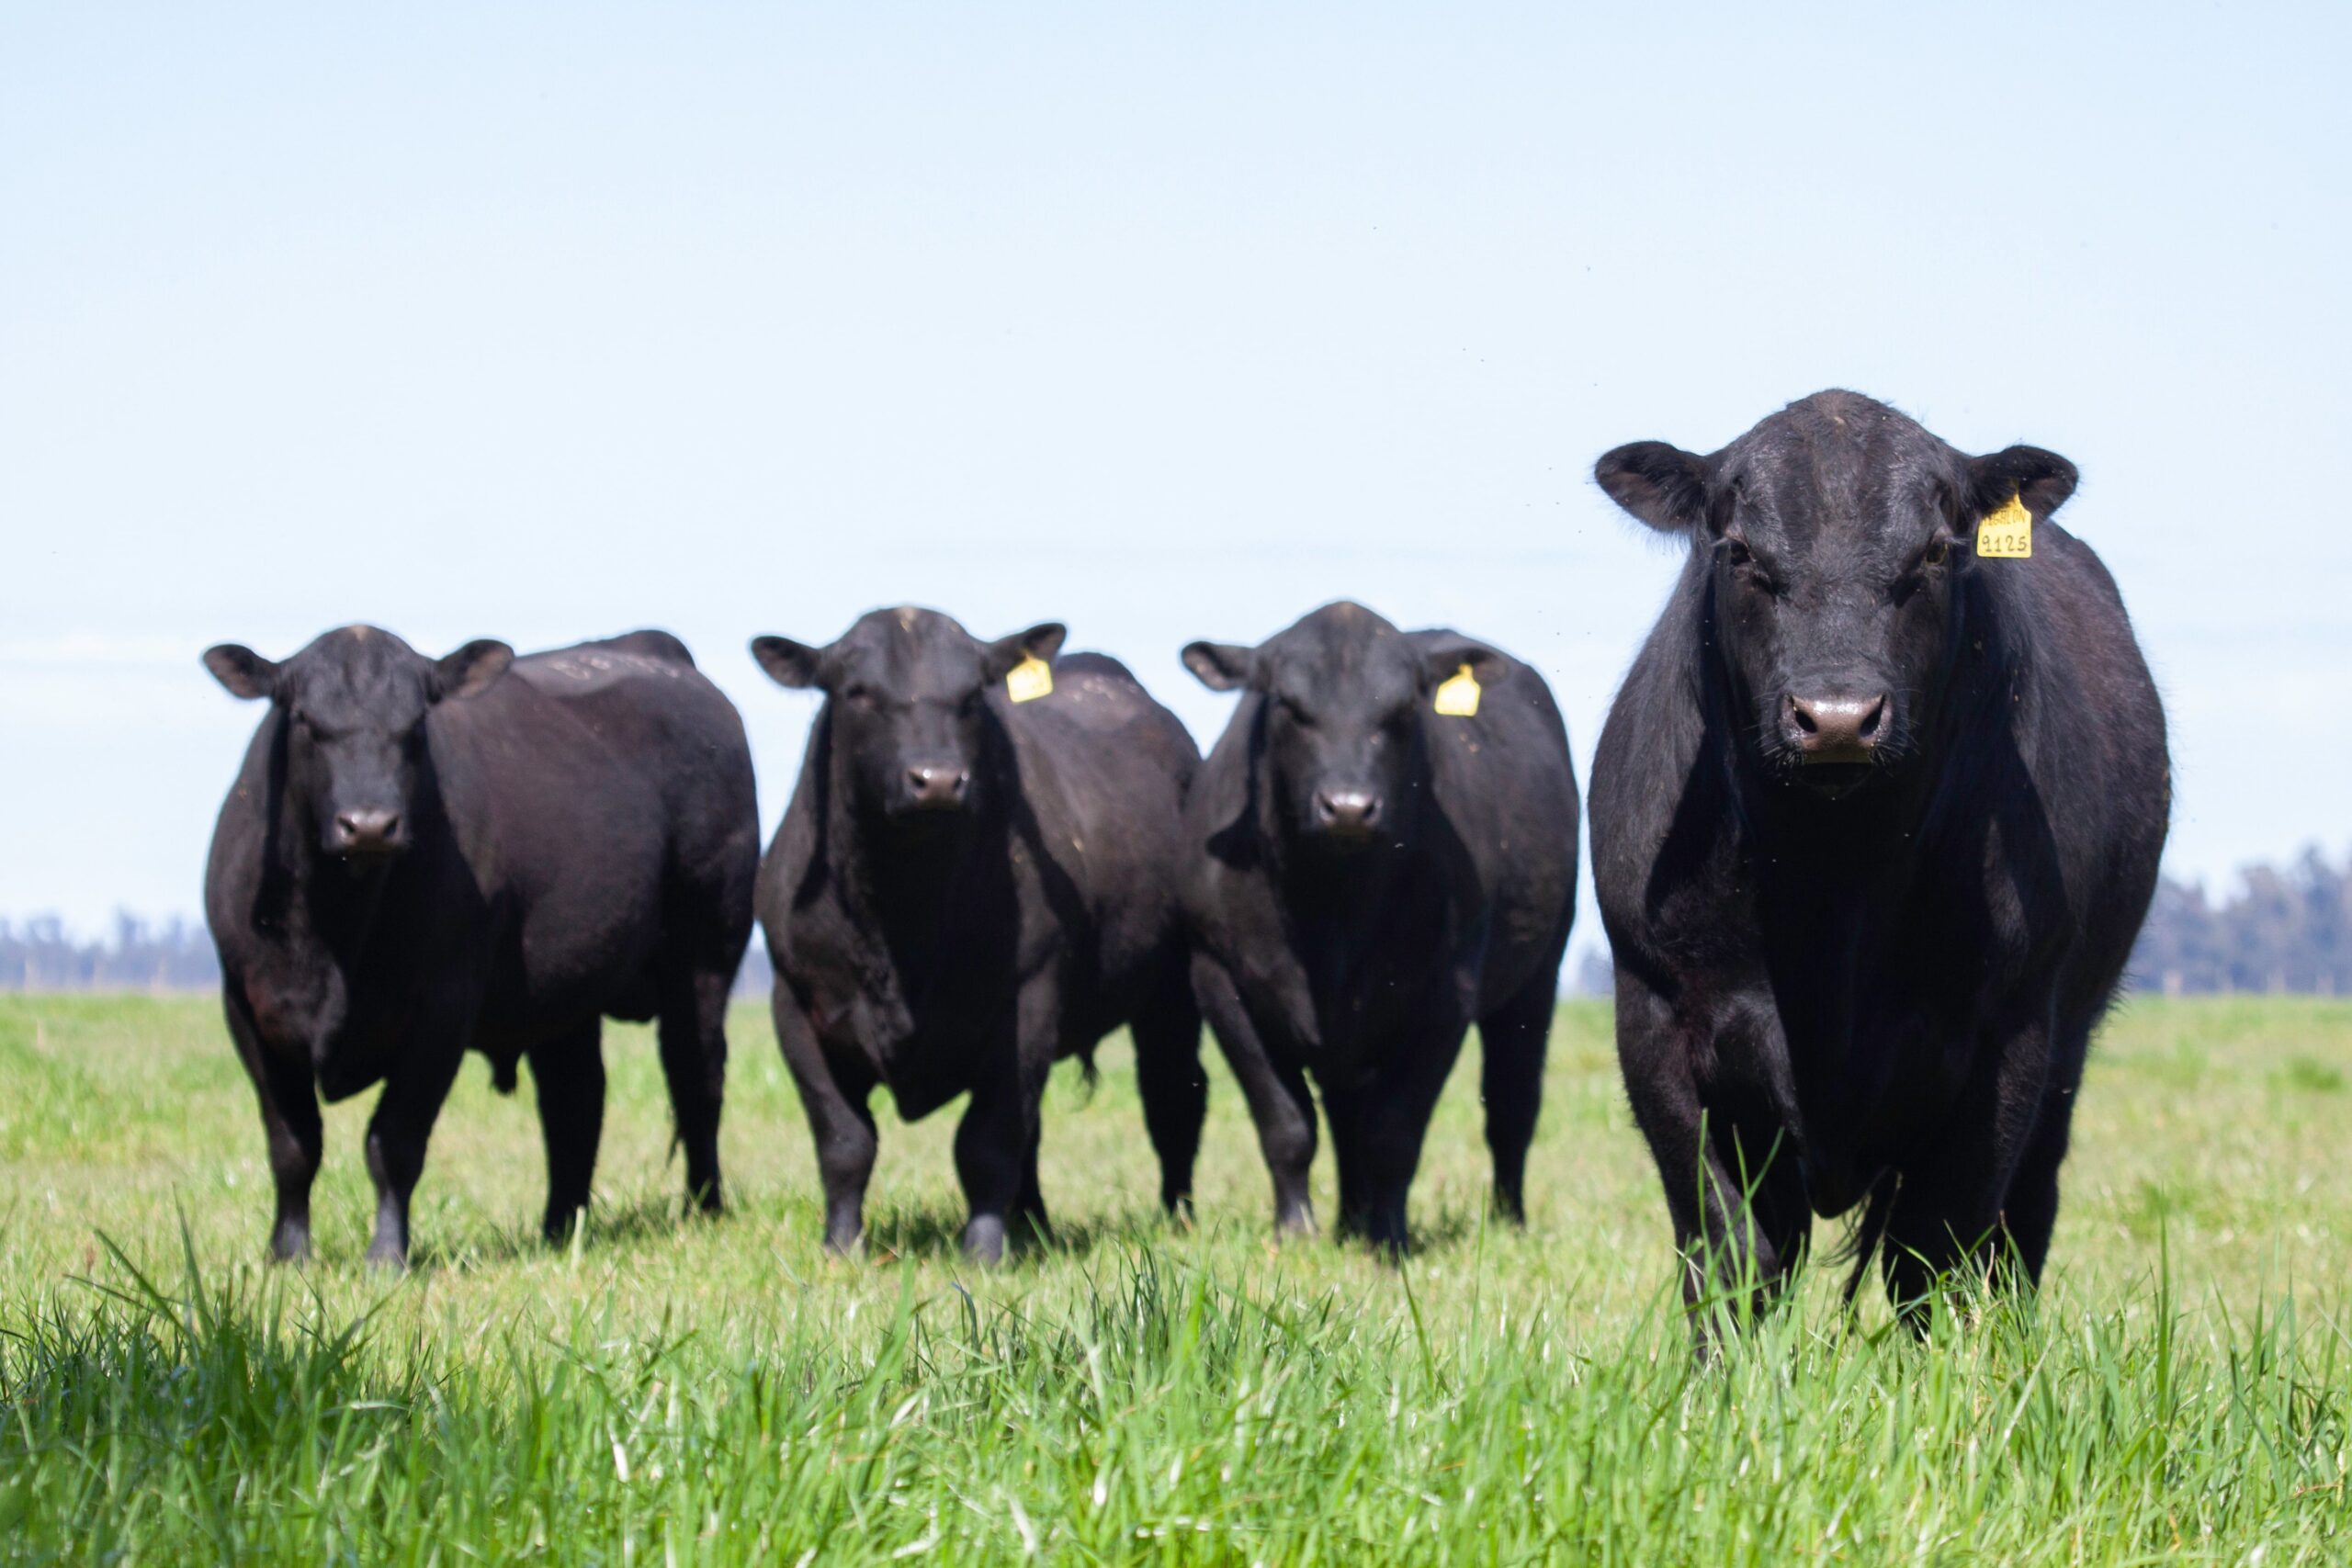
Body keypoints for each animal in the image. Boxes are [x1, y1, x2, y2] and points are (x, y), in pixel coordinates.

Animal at [202, 626, 759, 1268]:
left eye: (416, 723)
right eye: (303, 720)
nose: (369, 825)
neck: (333, 933)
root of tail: (653, 648)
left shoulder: (443, 1007)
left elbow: (393, 1141)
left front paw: (386, 1257)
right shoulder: (247, 1007)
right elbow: (293, 1144)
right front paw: (287, 1255)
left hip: (705, 953)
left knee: (696, 1078)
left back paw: (703, 1208)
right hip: (566, 987)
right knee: (575, 1100)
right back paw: (559, 1226)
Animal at [750, 607, 1206, 1264]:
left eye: (971, 695)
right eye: (858, 691)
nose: (937, 779)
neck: (903, 916)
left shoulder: (1027, 1004)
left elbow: (987, 1142)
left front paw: (984, 1253)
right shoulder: (795, 1005)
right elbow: (844, 1139)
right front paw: (840, 1246)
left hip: (1172, 988)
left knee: (1173, 1095)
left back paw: (1176, 1218)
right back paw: (1033, 1222)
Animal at [1180, 601, 1579, 1252]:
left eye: (1402, 710)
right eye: (1288, 704)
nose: (1347, 807)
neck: (1332, 908)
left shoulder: (1447, 993)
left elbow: (1395, 1131)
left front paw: (1389, 1239)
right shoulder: (1219, 979)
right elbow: (1286, 1123)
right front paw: (1295, 1231)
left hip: (1538, 973)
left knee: (1512, 1105)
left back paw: (1507, 1221)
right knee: (1345, 1115)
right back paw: (1348, 1218)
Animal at [1587, 390, 2169, 1331]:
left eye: (1935, 551)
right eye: (1739, 550)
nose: (1835, 717)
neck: (1833, 878)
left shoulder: (2007, 1039)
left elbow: (1933, 1255)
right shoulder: (1659, 1022)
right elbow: (1729, 1251)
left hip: (2066, 1054)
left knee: (2021, 1226)